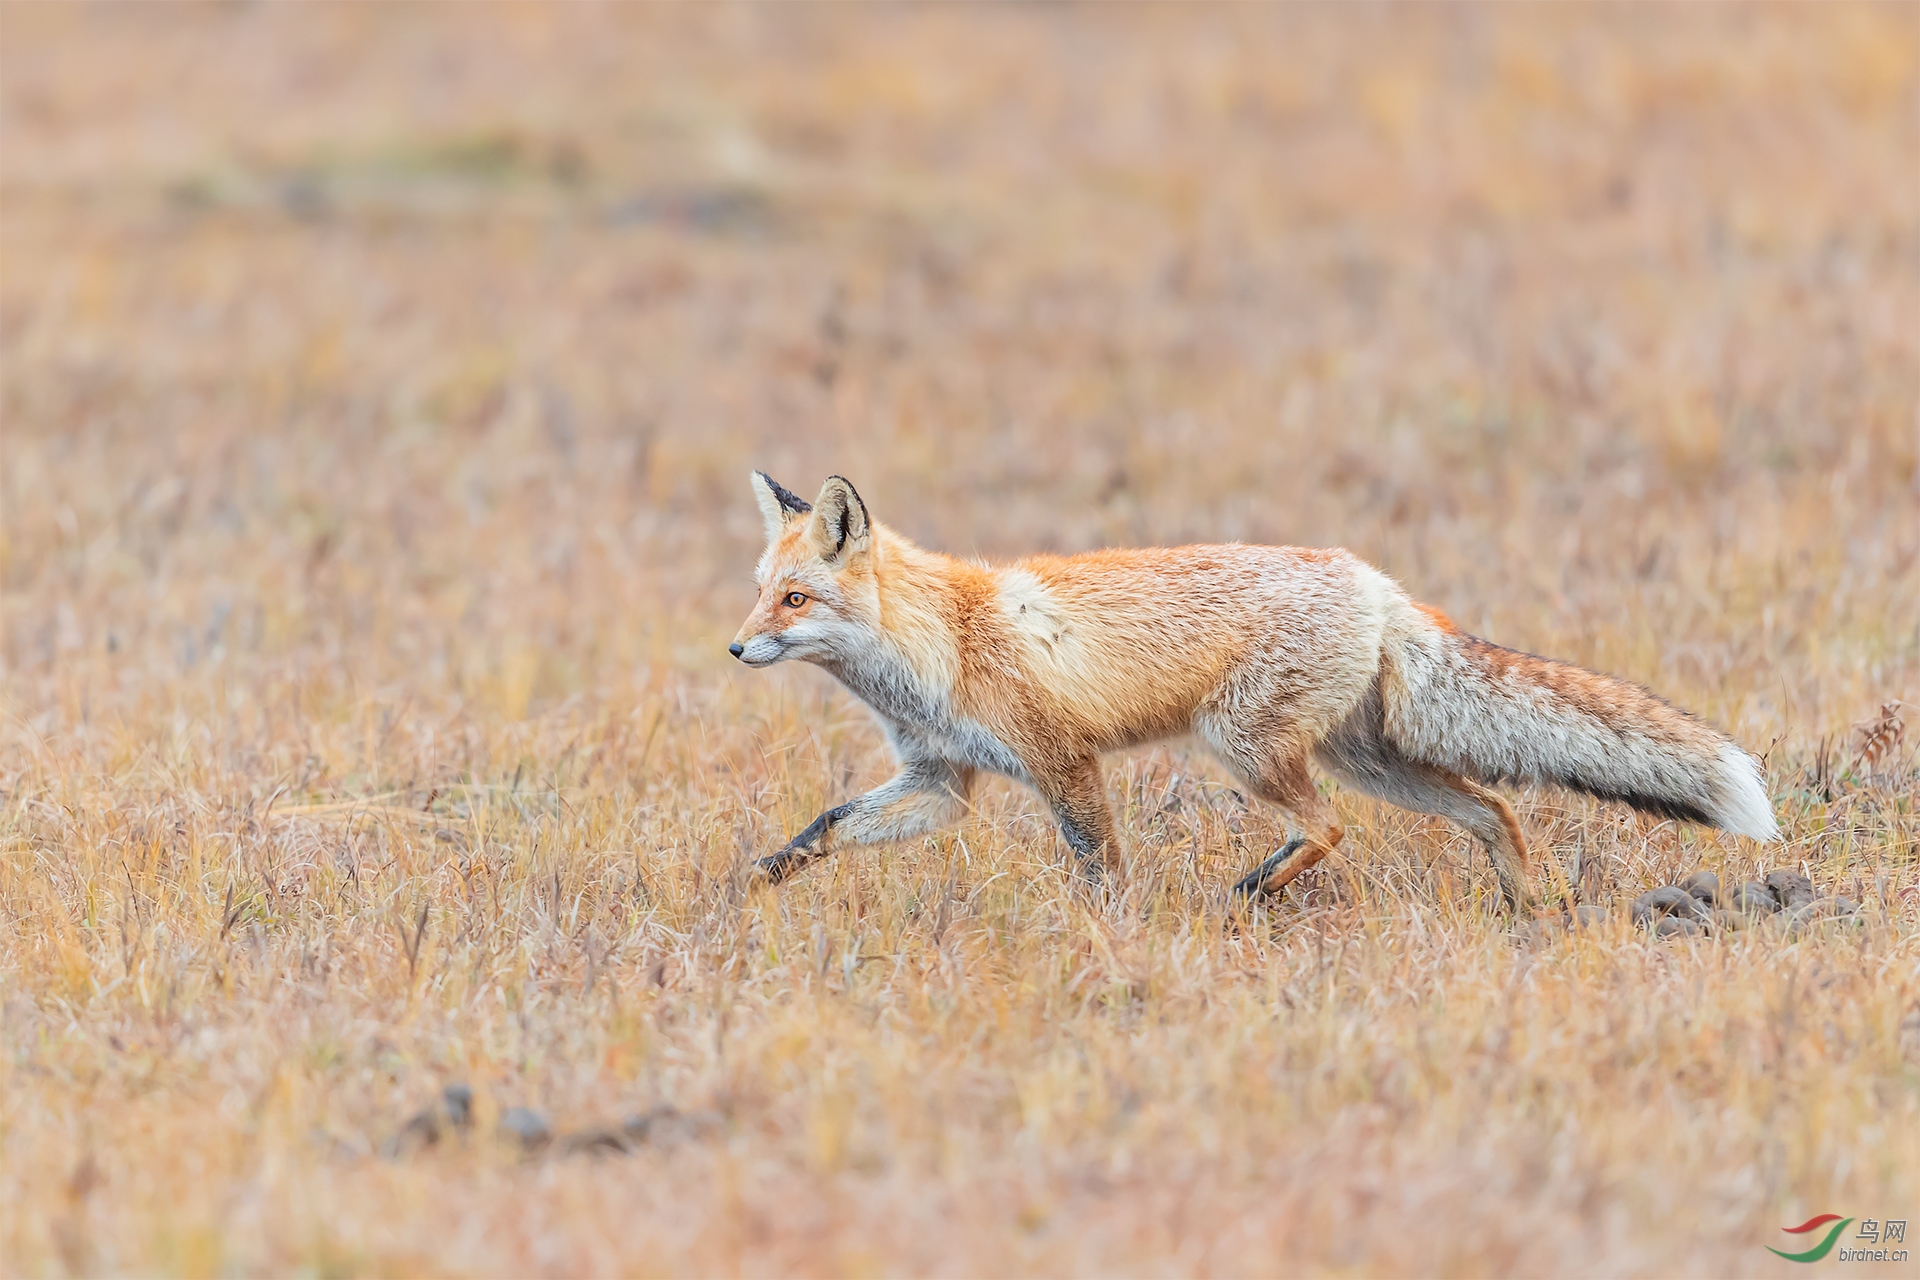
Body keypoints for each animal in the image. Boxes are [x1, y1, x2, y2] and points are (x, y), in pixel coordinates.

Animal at [725, 474, 1774, 909]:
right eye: (758, 589)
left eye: (794, 598)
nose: (735, 647)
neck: (939, 647)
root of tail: (1374, 579)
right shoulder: (941, 782)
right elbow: (821, 829)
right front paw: (747, 890)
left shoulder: (1063, 764)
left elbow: (1103, 872)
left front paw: (1117, 939)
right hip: (1369, 762)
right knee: (1493, 809)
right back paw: (1531, 907)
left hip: (1246, 749)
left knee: (1328, 828)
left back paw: (1249, 892)